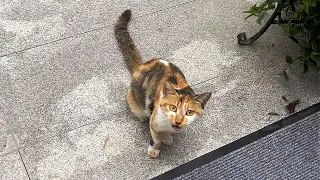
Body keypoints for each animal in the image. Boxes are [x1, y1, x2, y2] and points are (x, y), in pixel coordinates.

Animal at [114, 10, 211, 159]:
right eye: (173, 108)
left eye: (189, 112)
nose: (178, 121)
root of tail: (141, 65)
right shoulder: (154, 120)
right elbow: (155, 138)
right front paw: (154, 149)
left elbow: (166, 133)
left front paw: (166, 137)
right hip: (134, 100)